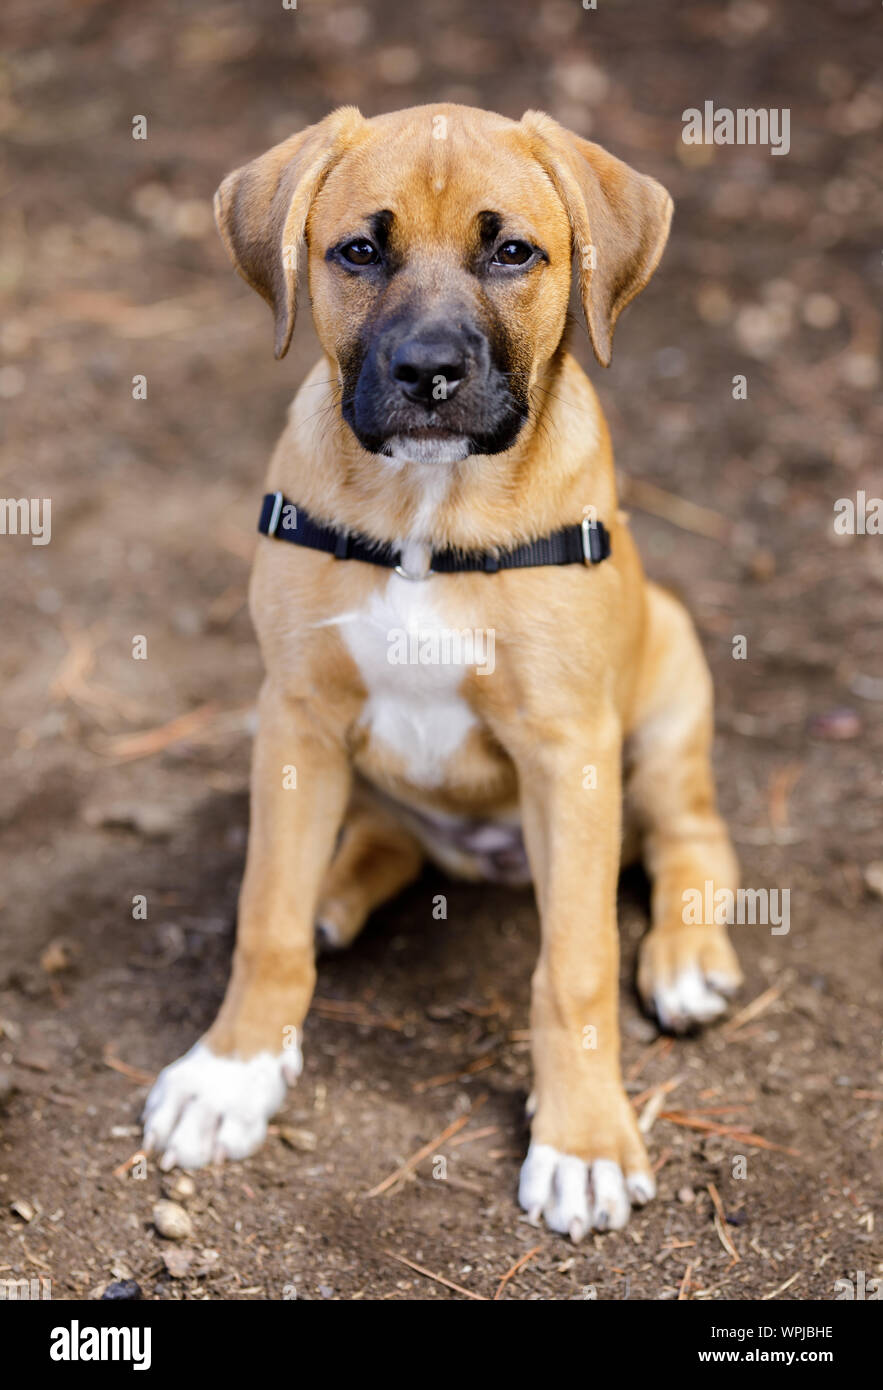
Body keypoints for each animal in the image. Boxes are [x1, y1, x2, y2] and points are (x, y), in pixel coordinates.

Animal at [141, 105, 745, 1239]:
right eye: (357, 252)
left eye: (512, 252)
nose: (428, 373)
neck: (428, 508)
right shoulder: (294, 715)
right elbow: (266, 918)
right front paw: (230, 1072)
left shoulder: (567, 749)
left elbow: (574, 967)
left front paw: (581, 1142)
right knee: (383, 839)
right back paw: (338, 886)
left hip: (669, 688)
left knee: (692, 837)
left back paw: (687, 957)